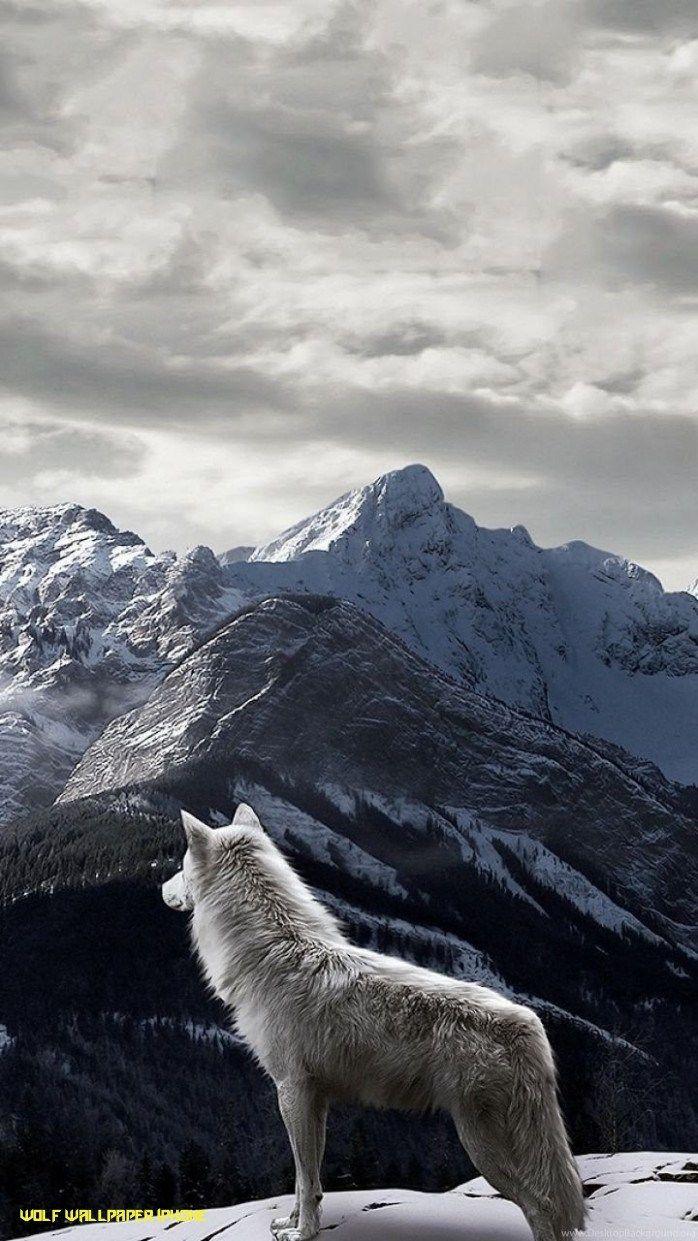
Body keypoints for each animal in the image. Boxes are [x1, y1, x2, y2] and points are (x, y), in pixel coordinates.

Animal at [162, 804, 584, 1241]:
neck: (272, 952)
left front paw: (302, 1233)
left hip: (485, 1149)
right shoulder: (314, 1098)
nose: (161, 887)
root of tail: (529, 1025)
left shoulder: (291, 1090)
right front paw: (292, 1222)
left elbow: (304, 1177)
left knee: (543, 1207)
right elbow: (306, 1179)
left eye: (180, 867)